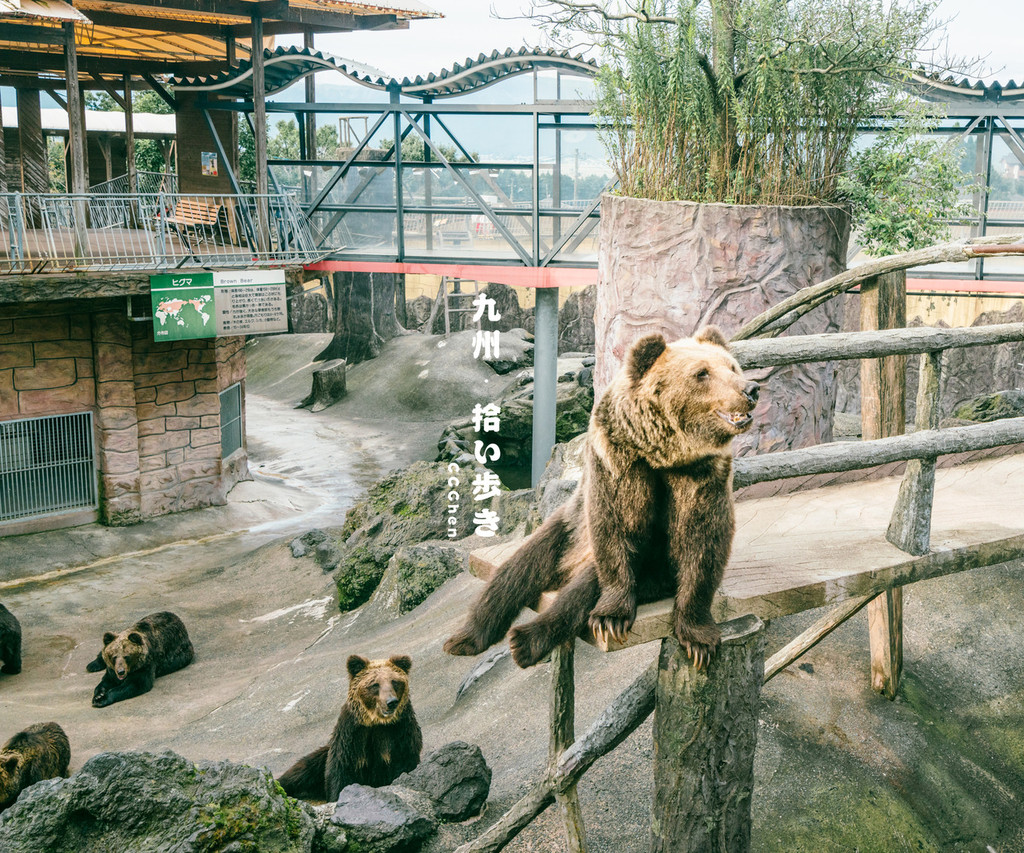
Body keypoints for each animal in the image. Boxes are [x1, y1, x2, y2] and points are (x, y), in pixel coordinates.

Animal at [276, 655, 419, 802]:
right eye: (375, 684)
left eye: (394, 681)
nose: (391, 702)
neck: (376, 722)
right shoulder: (352, 737)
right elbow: (340, 772)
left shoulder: (399, 734)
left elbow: (404, 764)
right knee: (302, 769)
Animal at [444, 325, 757, 663]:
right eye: (702, 373)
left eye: (732, 367)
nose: (751, 389)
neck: (662, 453)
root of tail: (565, 568)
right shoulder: (617, 458)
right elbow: (615, 524)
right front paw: (611, 617)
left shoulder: (702, 476)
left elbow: (702, 540)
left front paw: (698, 639)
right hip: (566, 529)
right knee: (514, 573)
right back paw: (471, 638)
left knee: (579, 587)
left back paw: (525, 639)